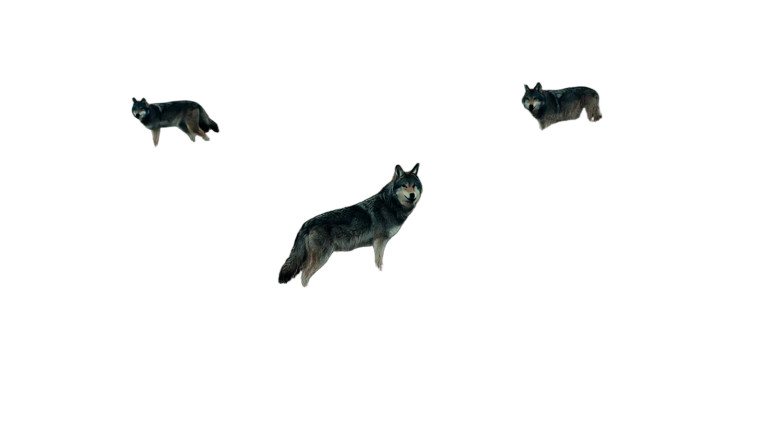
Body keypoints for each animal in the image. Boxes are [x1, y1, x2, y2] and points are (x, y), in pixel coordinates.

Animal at [278, 164, 423, 287]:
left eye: (414, 185)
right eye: (404, 186)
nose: (412, 195)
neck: (391, 204)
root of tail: (306, 223)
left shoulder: (379, 243)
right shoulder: (379, 242)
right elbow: (379, 263)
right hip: (321, 257)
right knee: (304, 275)